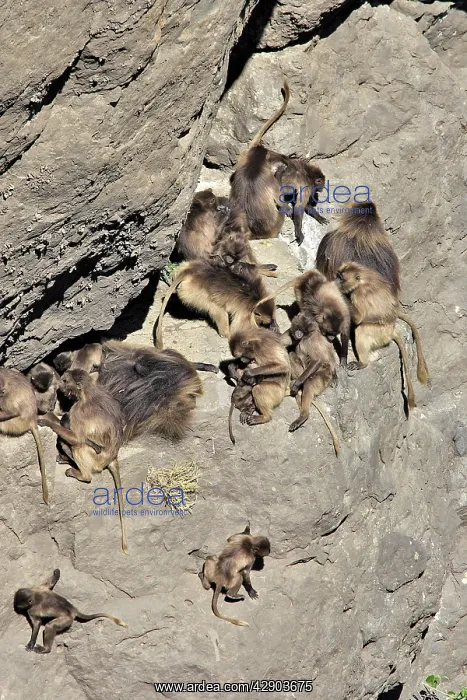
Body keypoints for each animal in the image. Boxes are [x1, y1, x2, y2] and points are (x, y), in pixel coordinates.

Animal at [38, 369, 128, 553]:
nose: (60, 387)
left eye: (65, 381)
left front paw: (47, 421)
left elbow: (77, 438)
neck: (88, 391)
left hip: (95, 459)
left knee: (77, 445)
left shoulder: (78, 410)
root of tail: (112, 457)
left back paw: (81, 474)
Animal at [229, 81, 290, 240]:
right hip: (275, 227)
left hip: (243, 155)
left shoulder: (243, 160)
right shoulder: (270, 180)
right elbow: (280, 200)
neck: (254, 163)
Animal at [281, 311, 340, 455]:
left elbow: (317, 360)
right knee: (292, 354)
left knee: (309, 381)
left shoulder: (309, 340)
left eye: (303, 331)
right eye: (298, 330)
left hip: (323, 377)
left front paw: (297, 385)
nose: (298, 335)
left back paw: (303, 414)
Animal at [336, 262, 430, 409]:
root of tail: (391, 330)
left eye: (341, 278)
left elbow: (359, 318)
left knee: (362, 328)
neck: (362, 279)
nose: (335, 281)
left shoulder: (360, 294)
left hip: (380, 334)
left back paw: (363, 363)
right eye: (338, 275)